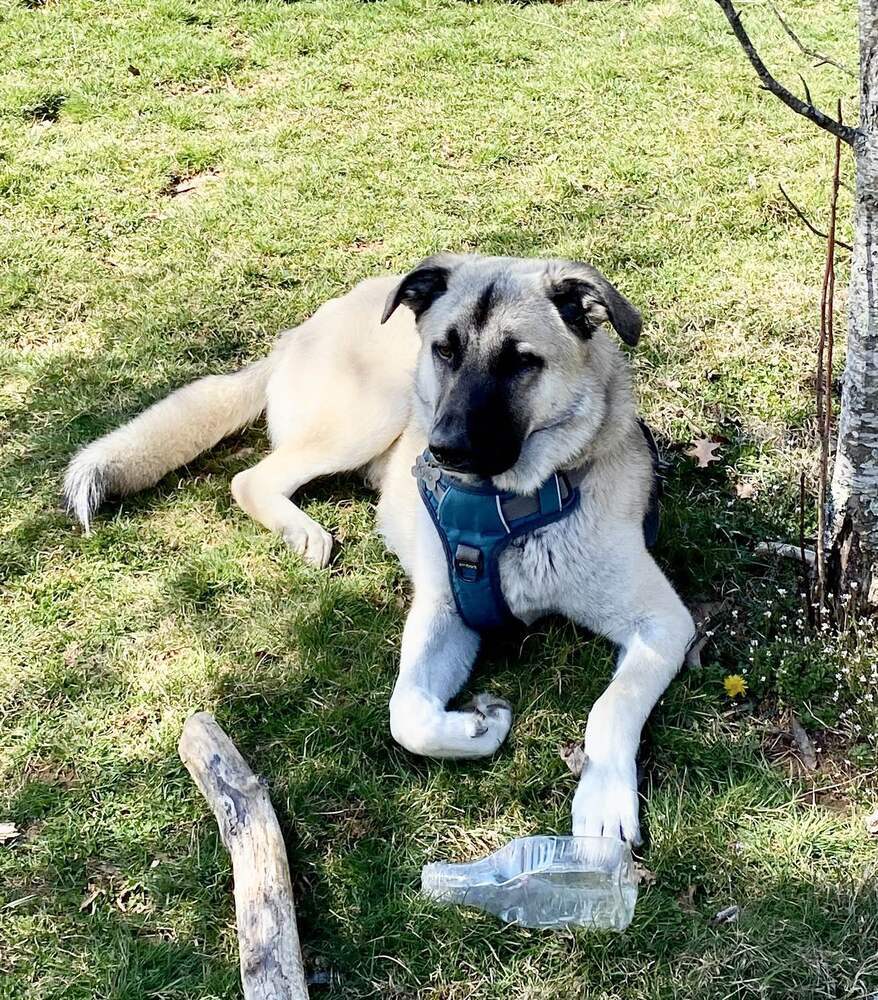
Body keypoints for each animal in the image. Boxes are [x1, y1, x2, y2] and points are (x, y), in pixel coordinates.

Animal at [65, 256, 696, 844]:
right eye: (445, 350)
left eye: (521, 361)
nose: (441, 451)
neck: (513, 507)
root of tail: (298, 332)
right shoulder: (442, 612)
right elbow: (407, 715)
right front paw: (477, 727)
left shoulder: (665, 624)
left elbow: (611, 707)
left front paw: (604, 799)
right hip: (375, 412)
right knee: (250, 479)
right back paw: (303, 531)